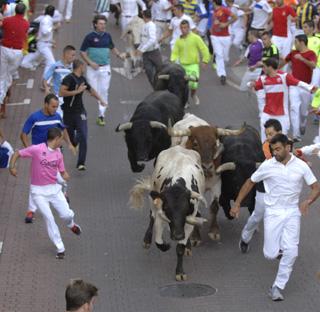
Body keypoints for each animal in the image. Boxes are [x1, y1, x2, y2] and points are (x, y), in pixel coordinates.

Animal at [130, 146, 208, 280]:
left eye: (186, 208)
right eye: (167, 208)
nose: (177, 236)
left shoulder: (189, 220)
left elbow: (180, 247)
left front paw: (180, 272)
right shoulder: (160, 216)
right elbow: (158, 241)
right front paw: (165, 246)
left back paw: (188, 247)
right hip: (153, 200)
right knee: (151, 217)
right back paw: (147, 240)